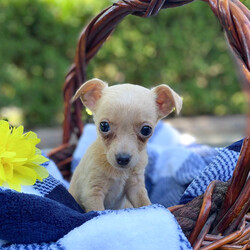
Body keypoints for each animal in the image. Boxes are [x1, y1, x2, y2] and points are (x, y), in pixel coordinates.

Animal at [68, 78, 182, 211]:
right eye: (104, 126)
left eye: (146, 130)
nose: (123, 159)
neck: (120, 173)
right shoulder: (92, 193)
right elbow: (99, 211)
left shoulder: (136, 187)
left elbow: (145, 203)